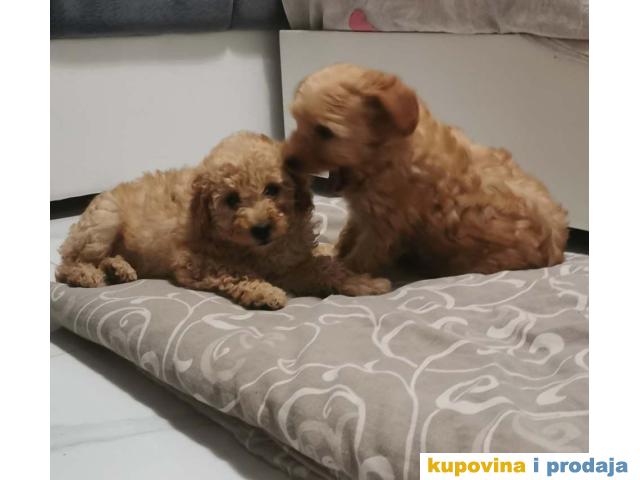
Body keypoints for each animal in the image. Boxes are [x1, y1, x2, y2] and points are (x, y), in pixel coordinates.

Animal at [56, 131, 391, 309]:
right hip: (104, 220)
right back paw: (88, 274)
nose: (261, 229)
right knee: (66, 264)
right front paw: (265, 292)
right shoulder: (193, 262)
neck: (261, 250)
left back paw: (119, 268)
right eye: (231, 200)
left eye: (272, 189)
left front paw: (364, 282)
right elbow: (235, 271)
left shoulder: (290, 263)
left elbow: (325, 267)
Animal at [283, 64, 569, 276]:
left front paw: (341, 271)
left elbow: (361, 256)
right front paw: (331, 252)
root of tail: (558, 251)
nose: (287, 160)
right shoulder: (363, 213)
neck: (386, 153)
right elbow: (347, 233)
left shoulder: (384, 226)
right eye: (297, 121)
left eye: (325, 132)